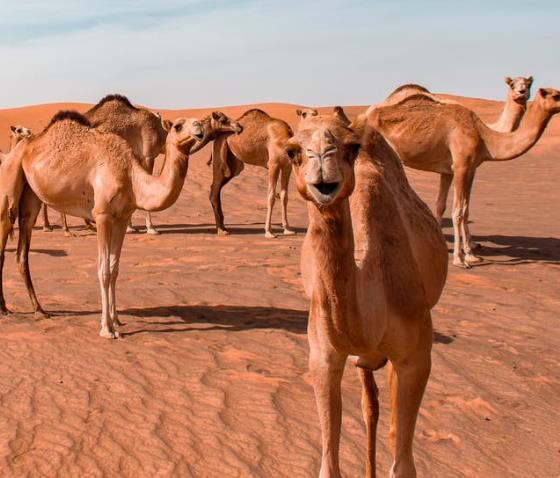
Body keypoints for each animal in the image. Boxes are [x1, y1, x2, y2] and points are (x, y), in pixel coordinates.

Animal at [0, 110, 208, 338]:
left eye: (197, 121)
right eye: (178, 126)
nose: (200, 128)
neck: (131, 177)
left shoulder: (122, 218)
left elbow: (114, 269)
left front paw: (116, 320)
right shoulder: (102, 215)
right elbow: (104, 271)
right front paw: (106, 329)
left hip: (31, 197)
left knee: (23, 249)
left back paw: (39, 309)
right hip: (9, 184)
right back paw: (4, 309)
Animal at [206, 110, 294, 241]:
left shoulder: (287, 166)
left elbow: (284, 196)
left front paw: (287, 229)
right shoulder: (273, 165)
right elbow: (271, 196)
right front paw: (269, 231)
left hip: (234, 166)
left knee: (217, 189)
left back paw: (223, 227)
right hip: (219, 152)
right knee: (214, 189)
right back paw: (221, 230)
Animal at [284, 113, 446, 478]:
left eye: (351, 146)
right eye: (293, 151)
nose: (322, 160)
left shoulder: (416, 355)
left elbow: (403, 465)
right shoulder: (323, 355)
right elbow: (329, 466)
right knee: (369, 404)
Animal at [368, 87, 560, 268]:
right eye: (555, 95)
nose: (521, 92)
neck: (484, 138)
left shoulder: (461, 170)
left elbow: (458, 208)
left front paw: (470, 254)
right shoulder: (461, 166)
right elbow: (457, 212)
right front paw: (459, 259)